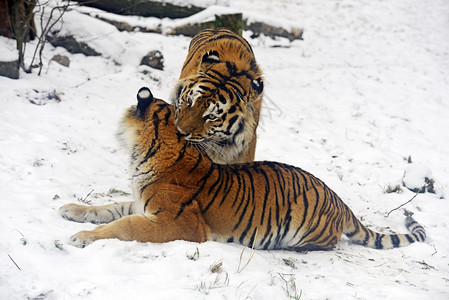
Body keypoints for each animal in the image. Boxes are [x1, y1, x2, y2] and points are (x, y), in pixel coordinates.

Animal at [57, 87, 426, 251]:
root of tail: (338, 198)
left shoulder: (177, 223)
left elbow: (124, 226)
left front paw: (80, 238)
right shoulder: (139, 202)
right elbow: (110, 208)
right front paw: (72, 210)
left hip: (305, 230)